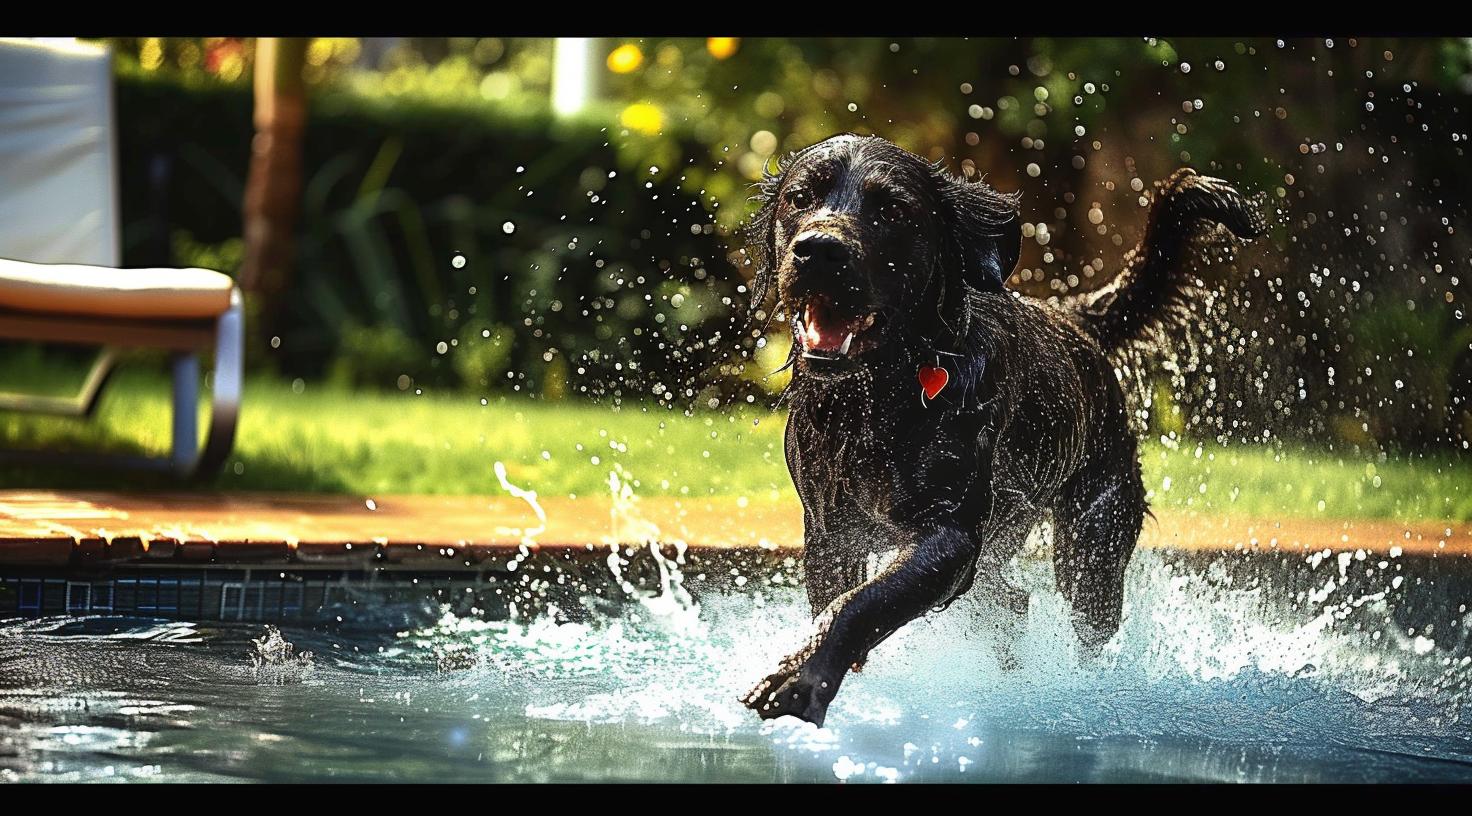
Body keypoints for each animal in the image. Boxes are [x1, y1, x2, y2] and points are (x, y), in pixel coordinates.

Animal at [736, 134, 1265, 724]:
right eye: (800, 198)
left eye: (892, 210)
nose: (820, 250)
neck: (881, 398)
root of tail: (1073, 319)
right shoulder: (832, 534)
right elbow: (839, 601)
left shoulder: (952, 536)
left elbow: (861, 603)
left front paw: (797, 679)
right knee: (1011, 604)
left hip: (1092, 545)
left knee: (1083, 620)